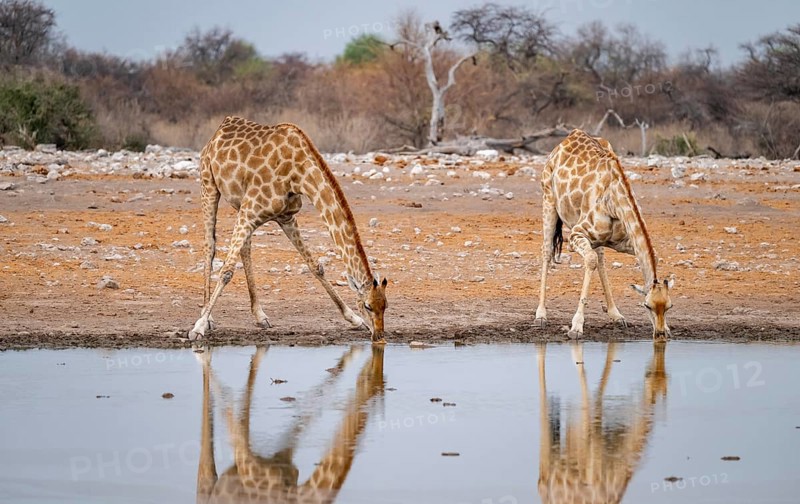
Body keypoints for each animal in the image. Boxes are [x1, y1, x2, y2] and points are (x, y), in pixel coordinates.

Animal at [188, 116, 388, 343]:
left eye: (385, 306)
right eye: (368, 306)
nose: (379, 336)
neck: (299, 174)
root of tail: (220, 128)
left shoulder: (286, 217)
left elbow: (316, 266)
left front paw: (354, 319)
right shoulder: (250, 212)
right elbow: (226, 271)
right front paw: (198, 327)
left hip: (240, 204)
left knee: (245, 248)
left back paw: (260, 315)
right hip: (209, 184)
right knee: (210, 245)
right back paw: (208, 317)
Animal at [195, 344, 385, 503]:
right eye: (370, 379)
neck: (295, 494)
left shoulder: (285, 460)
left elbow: (300, 423)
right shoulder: (246, 461)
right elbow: (232, 419)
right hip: (208, 482)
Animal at [534, 129, 674, 339]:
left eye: (669, 307)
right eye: (647, 306)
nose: (659, 334)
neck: (613, 201)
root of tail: (566, 139)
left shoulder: (624, 241)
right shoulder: (576, 234)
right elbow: (590, 260)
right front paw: (576, 327)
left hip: (597, 239)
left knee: (600, 258)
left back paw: (616, 314)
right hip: (548, 200)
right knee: (547, 251)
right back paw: (541, 315)